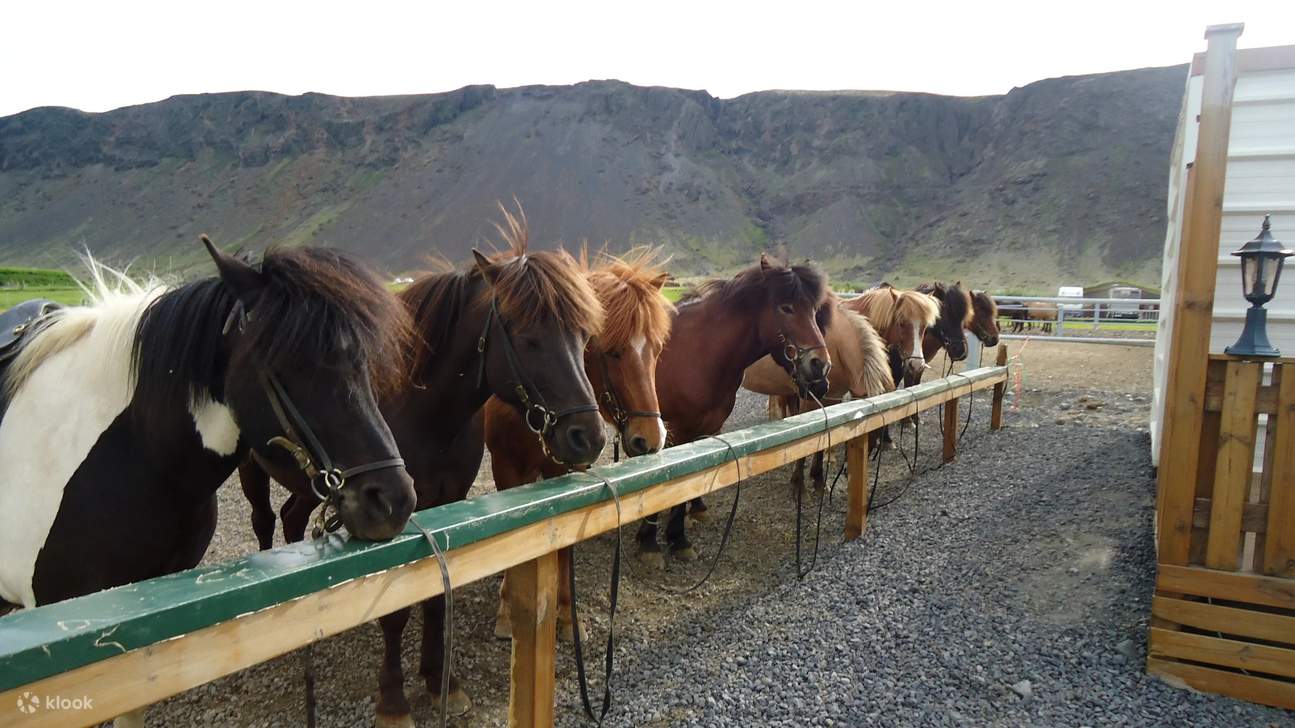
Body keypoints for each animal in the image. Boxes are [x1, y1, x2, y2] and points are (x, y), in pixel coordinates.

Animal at [237, 208, 607, 725]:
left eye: (583, 335)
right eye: (528, 336)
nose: (587, 437)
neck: (418, 405)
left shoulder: (446, 502)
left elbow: (434, 598)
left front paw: (441, 680)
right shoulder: (396, 515)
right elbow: (397, 613)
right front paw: (393, 700)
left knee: (292, 517)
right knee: (265, 522)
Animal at [489, 247, 673, 643]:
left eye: (656, 349)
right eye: (612, 351)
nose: (651, 438)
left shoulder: (571, 471)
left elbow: (565, 549)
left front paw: (566, 616)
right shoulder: (505, 468)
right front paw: (507, 612)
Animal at [639, 254, 833, 566]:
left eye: (814, 311)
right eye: (786, 307)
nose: (821, 367)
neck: (698, 351)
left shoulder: (705, 427)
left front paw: (680, 533)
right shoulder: (674, 431)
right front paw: (652, 541)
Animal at [742, 293, 894, 491]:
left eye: (875, 435)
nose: (847, 471)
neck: (836, 346)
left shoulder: (832, 399)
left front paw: (818, 477)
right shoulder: (809, 400)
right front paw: (798, 480)